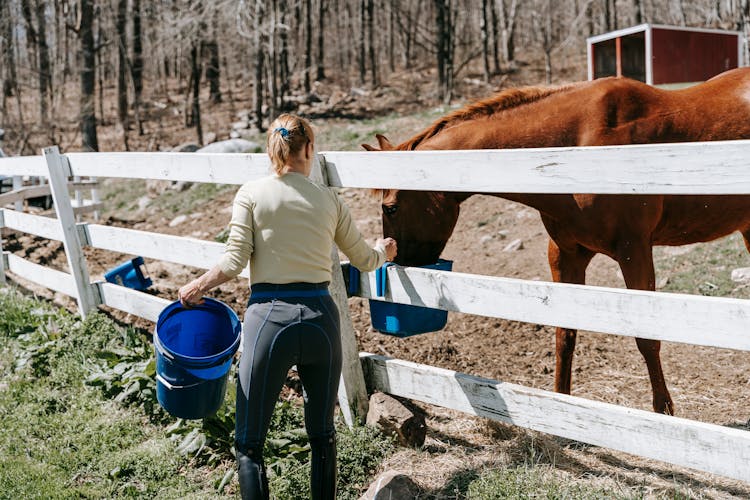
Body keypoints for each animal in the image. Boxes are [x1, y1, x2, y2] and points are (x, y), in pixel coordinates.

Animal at [368, 68, 750, 416]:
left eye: (391, 206)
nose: (400, 265)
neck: (576, 146)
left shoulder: (635, 252)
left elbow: (646, 337)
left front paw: (663, 412)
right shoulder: (567, 255)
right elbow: (565, 333)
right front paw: (560, 406)